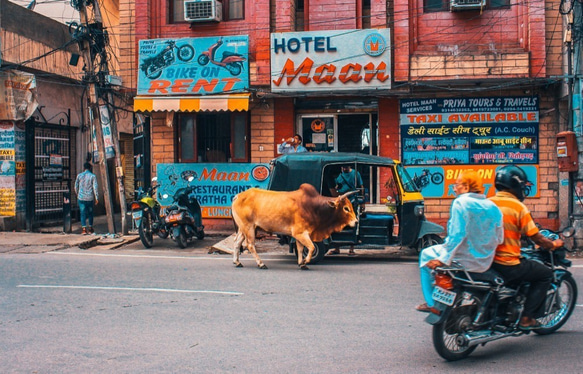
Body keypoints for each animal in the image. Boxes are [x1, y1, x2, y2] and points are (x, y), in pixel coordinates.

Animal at [230, 183, 358, 268]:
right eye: (346, 208)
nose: (356, 221)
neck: (314, 207)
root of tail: (238, 196)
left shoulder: (300, 234)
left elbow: (301, 248)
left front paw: (302, 263)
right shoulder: (300, 233)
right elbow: (311, 247)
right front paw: (305, 262)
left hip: (244, 228)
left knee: (237, 242)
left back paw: (237, 262)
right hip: (249, 227)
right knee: (250, 245)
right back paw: (261, 264)